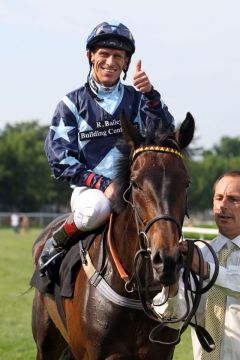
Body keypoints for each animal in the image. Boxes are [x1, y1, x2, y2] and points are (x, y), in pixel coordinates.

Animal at [31, 111, 195, 358]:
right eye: (135, 183)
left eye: (186, 183)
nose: (167, 260)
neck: (133, 291)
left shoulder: (160, 353)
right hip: (47, 342)